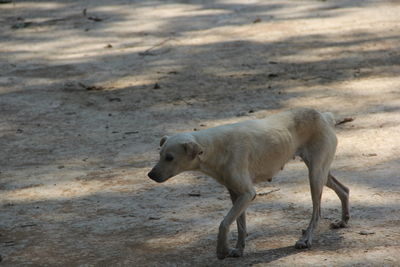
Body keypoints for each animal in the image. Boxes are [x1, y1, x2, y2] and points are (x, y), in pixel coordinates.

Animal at [148, 108, 348, 260]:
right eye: (160, 155)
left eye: (169, 157)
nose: (150, 175)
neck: (213, 147)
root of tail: (323, 116)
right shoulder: (236, 194)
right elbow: (240, 225)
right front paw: (238, 249)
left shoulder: (247, 193)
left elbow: (224, 223)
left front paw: (222, 251)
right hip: (322, 174)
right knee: (344, 189)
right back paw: (344, 220)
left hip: (314, 176)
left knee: (317, 211)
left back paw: (306, 240)